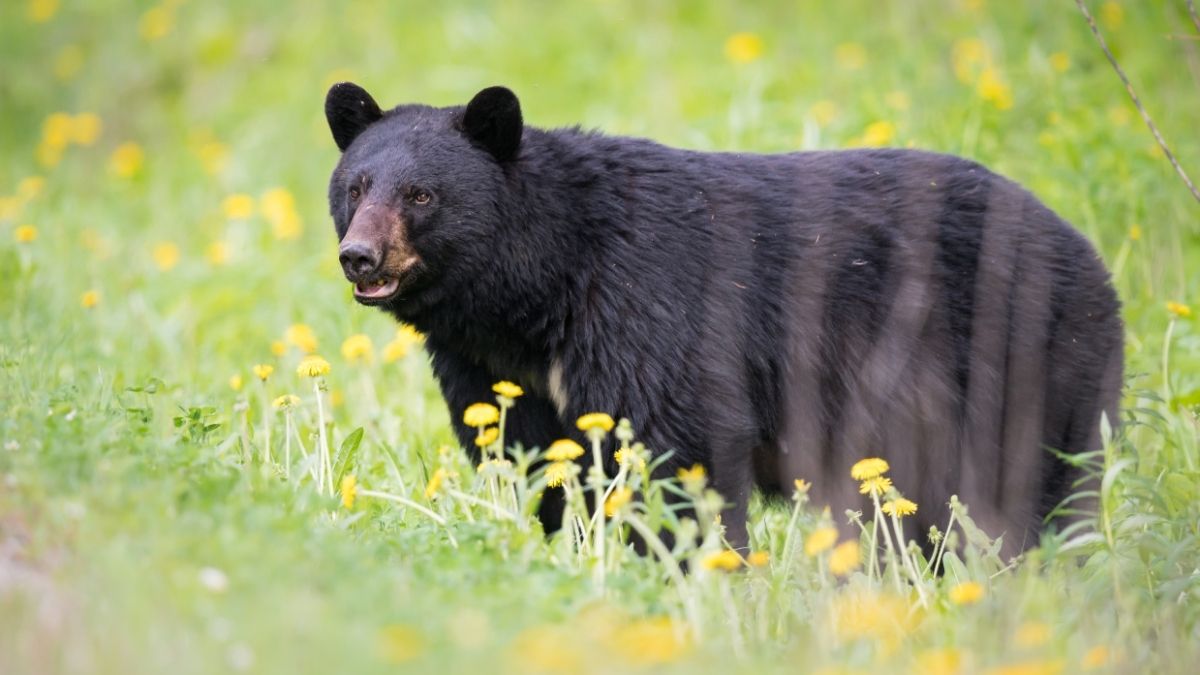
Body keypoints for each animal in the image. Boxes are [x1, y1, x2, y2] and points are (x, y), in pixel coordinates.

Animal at [324, 83, 1123, 554]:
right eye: (356, 185)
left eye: (422, 195)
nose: (359, 256)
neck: (538, 290)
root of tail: (1090, 253)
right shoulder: (492, 368)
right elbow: (537, 455)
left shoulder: (647, 303)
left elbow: (681, 440)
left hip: (1026, 358)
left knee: (1030, 485)